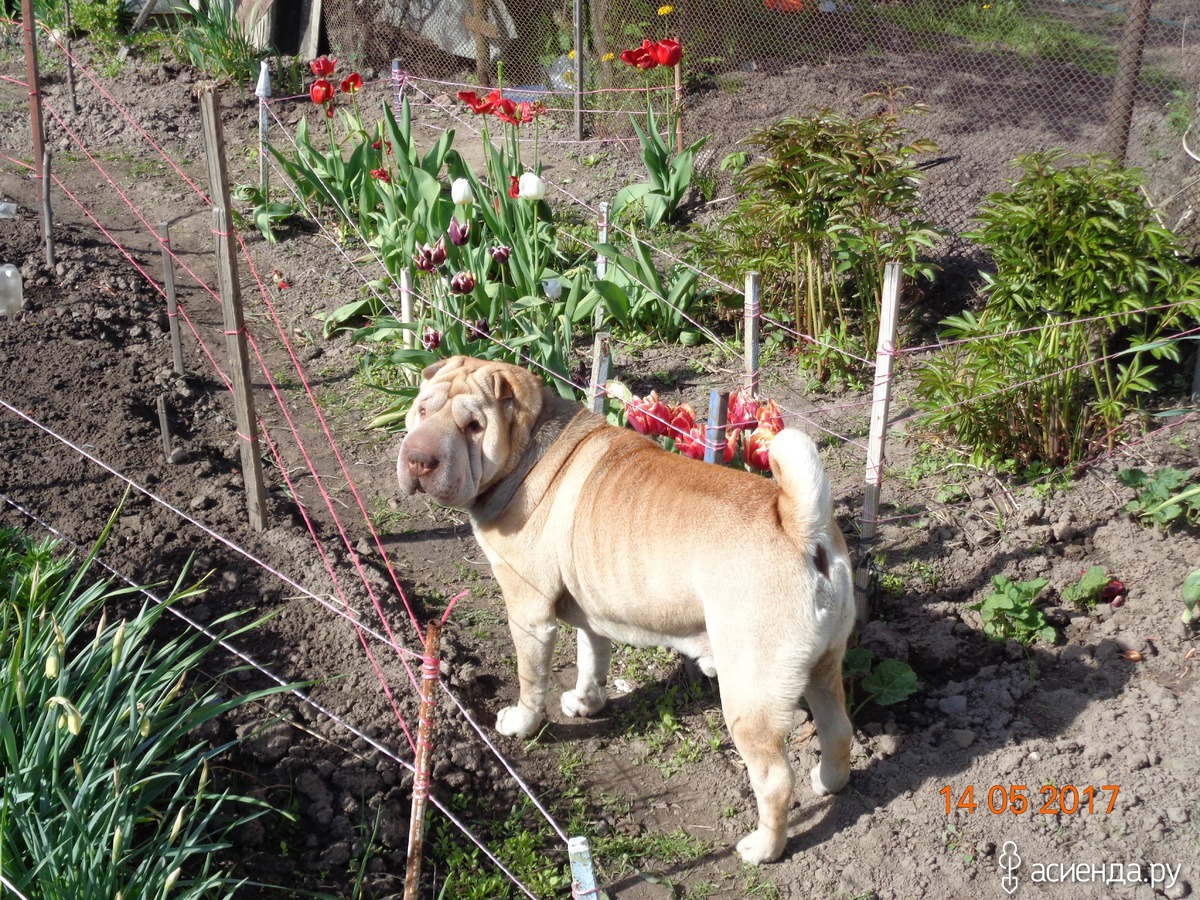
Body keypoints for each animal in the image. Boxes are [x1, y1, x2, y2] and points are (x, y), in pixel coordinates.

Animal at [396, 356, 855, 864]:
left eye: (473, 426)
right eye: (422, 409)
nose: (418, 459)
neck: (530, 447)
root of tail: (801, 524)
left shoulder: (528, 613)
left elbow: (531, 680)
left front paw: (521, 723)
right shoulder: (591, 607)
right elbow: (592, 657)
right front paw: (586, 702)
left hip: (750, 693)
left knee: (774, 780)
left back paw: (763, 848)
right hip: (823, 665)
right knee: (838, 730)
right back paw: (828, 783)